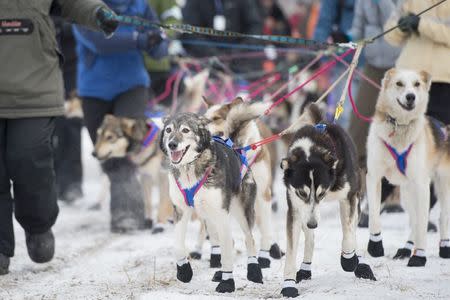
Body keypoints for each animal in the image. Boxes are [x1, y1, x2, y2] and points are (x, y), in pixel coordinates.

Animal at [160, 111, 264, 292]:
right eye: (168, 130)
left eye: (185, 130)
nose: (172, 144)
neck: (190, 168)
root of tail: (236, 149)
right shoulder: (180, 210)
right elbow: (177, 244)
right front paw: (184, 271)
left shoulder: (221, 212)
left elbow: (228, 252)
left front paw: (227, 282)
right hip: (209, 217)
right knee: (228, 241)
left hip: (239, 212)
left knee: (248, 239)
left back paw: (254, 272)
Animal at [280, 104, 374, 296]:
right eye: (301, 193)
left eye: (321, 193)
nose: (313, 224)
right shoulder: (296, 209)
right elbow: (291, 250)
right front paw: (288, 284)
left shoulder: (349, 197)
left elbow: (348, 233)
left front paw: (349, 259)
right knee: (310, 238)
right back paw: (305, 267)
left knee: (351, 228)